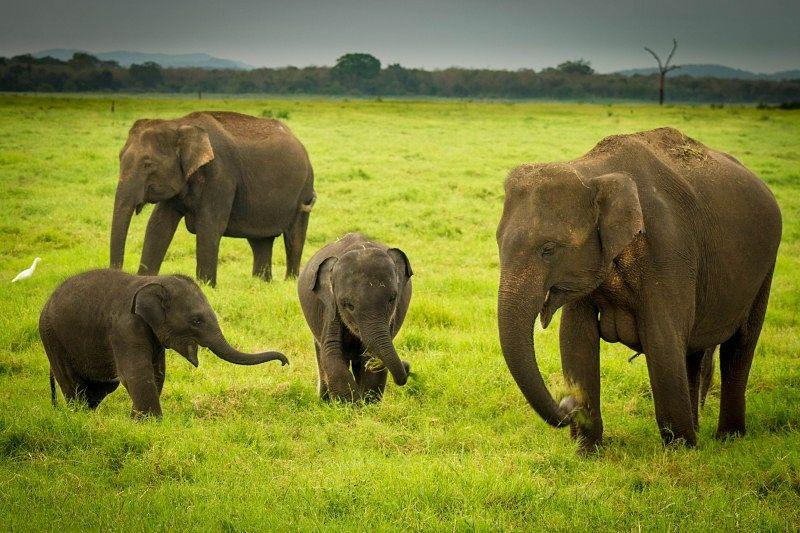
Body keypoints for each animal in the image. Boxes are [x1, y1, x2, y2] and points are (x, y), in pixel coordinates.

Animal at [40, 269, 288, 418]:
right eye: (196, 320)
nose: (285, 363)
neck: (154, 280)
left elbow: (157, 373)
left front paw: (138, 420)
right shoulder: (126, 328)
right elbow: (137, 373)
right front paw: (150, 423)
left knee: (103, 385)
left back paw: (89, 414)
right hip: (51, 337)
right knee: (72, 382)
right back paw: (79, 414)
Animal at [110, 111, 316, 287]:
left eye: (147, 164)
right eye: (119, 158)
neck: (179, 124)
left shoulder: (220, 174)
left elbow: (209, 225)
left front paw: (206, 286)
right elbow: (158, 225)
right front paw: (145, 280)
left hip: (305, 186)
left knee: (294, 237)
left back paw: (291, 281)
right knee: (260, 241)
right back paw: (262, 283)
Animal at [298, 233, 413, 402]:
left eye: (392, 299)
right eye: (348, 305)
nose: (407, 365)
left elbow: (371, 357)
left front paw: (367, 405)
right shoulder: (330, 306)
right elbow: (332, 352)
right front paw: (353, 405)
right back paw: (324, 401)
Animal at [496, 127, 781, 451]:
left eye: (548, 249)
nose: (568, 403)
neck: (593, 172)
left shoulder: (669, 250)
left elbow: (661, 339)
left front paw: (680, 452)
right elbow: (575, 339)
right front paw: (587, 451)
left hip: (765, 267)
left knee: (740, 345)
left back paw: (727, 439)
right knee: (694, 349)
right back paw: (701, 432)